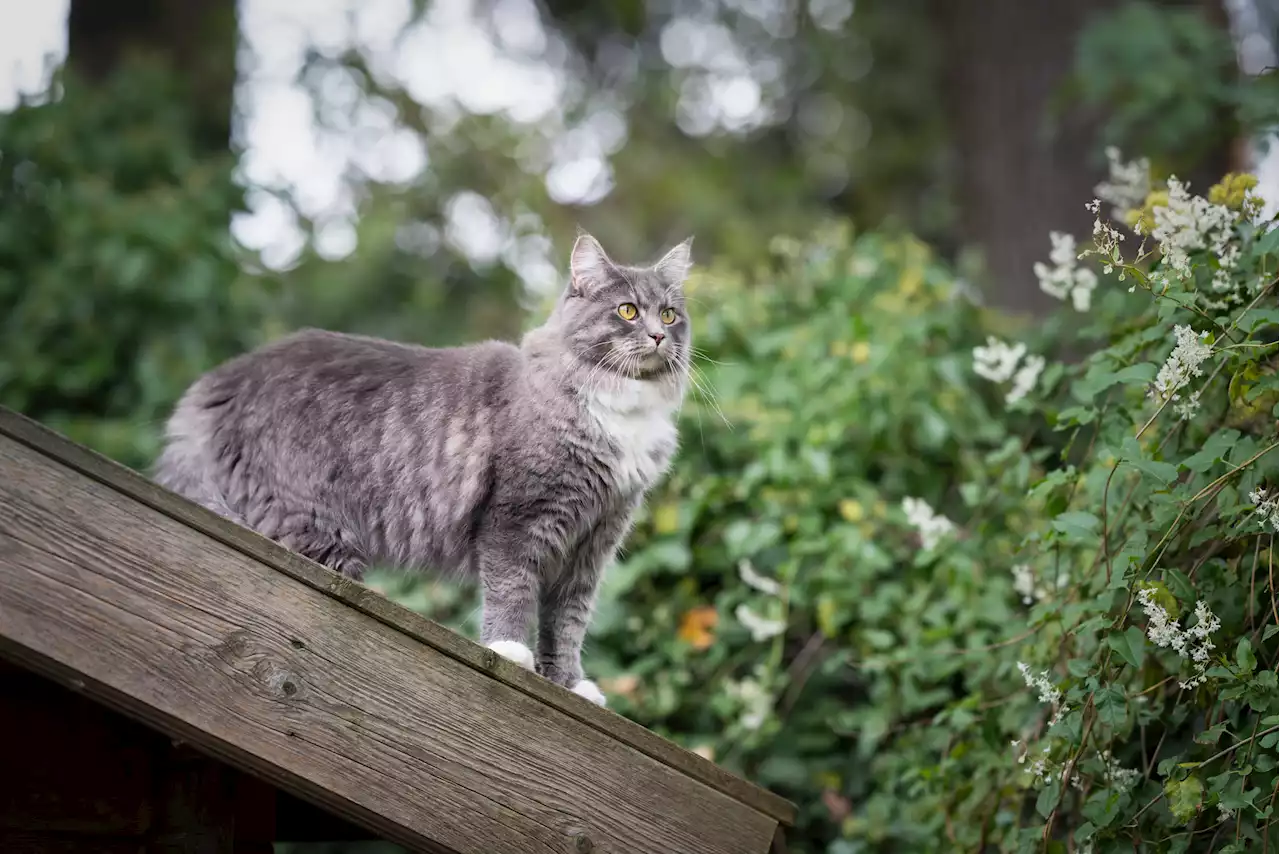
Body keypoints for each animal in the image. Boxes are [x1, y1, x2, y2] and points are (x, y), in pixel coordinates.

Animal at [153, 234, 696, 706]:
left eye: (670, 314)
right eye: (627, 311)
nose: (657, 335)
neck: (621, 410)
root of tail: (222, 379)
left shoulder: (593, 543)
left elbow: (567, 624)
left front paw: (569, 684)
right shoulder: (519, 517)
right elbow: (513, 591)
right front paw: (509, 653)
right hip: (314, 527)